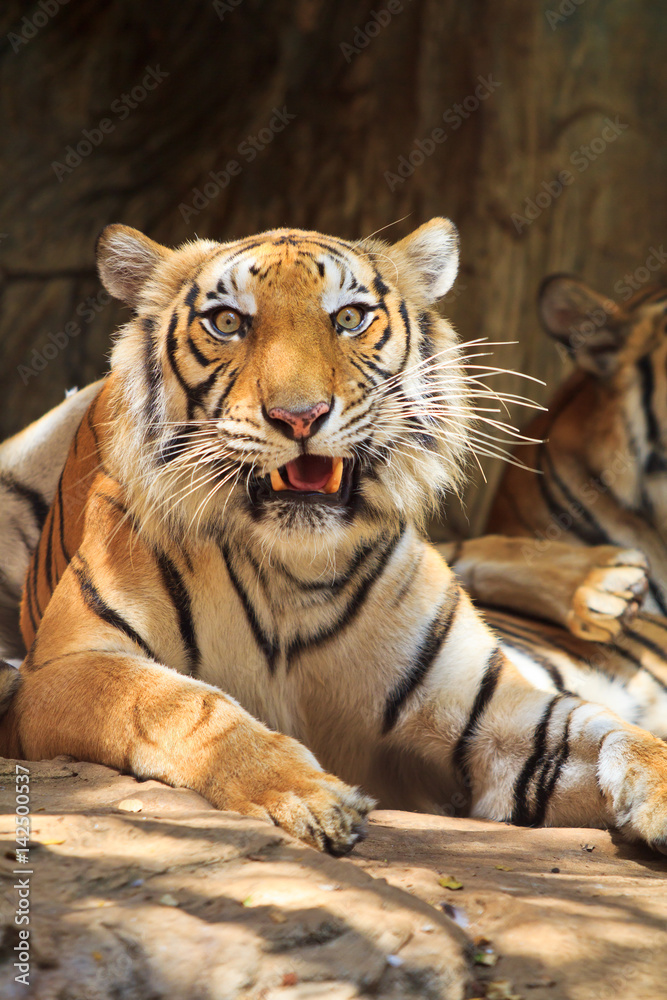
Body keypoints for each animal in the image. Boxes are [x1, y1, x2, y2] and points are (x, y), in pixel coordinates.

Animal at [1, 219, 667, 857]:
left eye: (349, 317)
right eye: (227, 322)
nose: (300, 417)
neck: (294, 571)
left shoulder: (489, 710)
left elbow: (613, 731)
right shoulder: (67, 667)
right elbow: (190, 707)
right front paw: (308, 796)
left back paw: (605, 582)